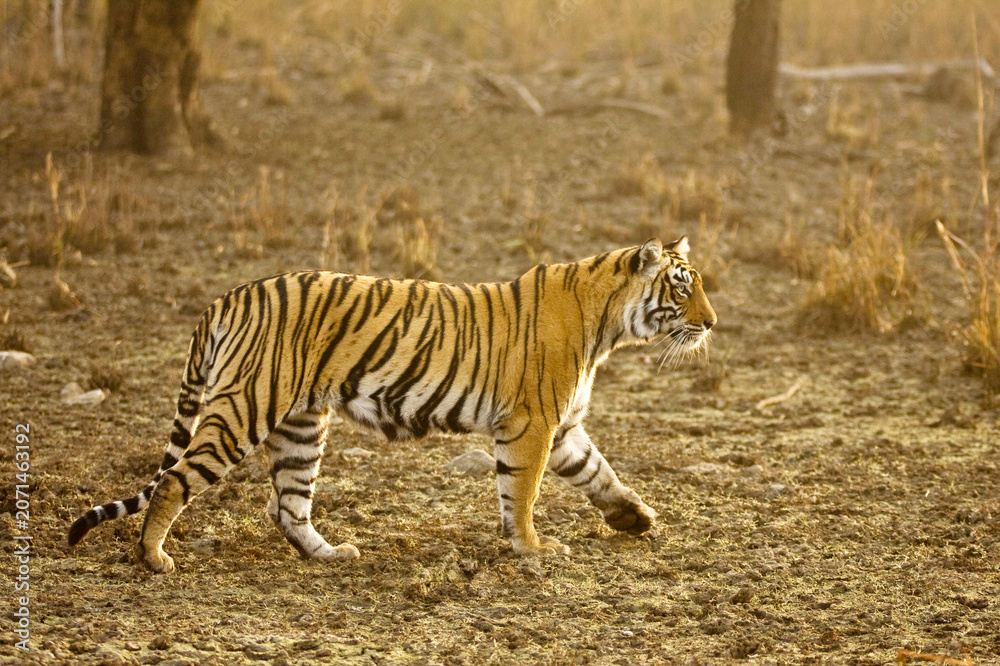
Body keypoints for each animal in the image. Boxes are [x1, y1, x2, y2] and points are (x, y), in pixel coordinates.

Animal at [68, 237, 716, 573]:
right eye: (682, 287)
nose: (712, 323)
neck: (606, 325)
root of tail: (224, 297)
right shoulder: (532, 424)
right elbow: (523, 492)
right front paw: (532, 548)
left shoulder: (562, 428)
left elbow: (599, 473)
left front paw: (635, 518)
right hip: (244, 408)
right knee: (176, 480)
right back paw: (153, 557)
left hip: (301, 425)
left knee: (287, 505)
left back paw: (333, 555)